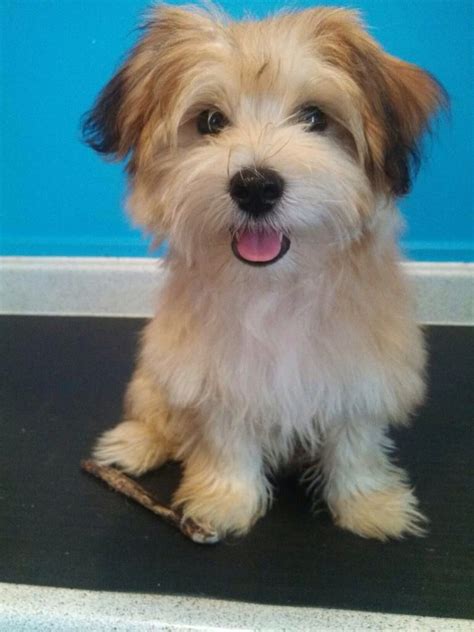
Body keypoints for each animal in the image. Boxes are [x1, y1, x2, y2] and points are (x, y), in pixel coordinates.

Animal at [84, 2, 444, 540]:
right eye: (210, 121)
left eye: (314, 117)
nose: (255, 186)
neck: (276, 286)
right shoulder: (215, 375)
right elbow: (226, 439)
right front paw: (225, 500)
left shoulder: (363, 372)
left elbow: (354, 443)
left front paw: (369, 504)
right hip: (155, 371)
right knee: (160, 416)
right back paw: (135, 444)